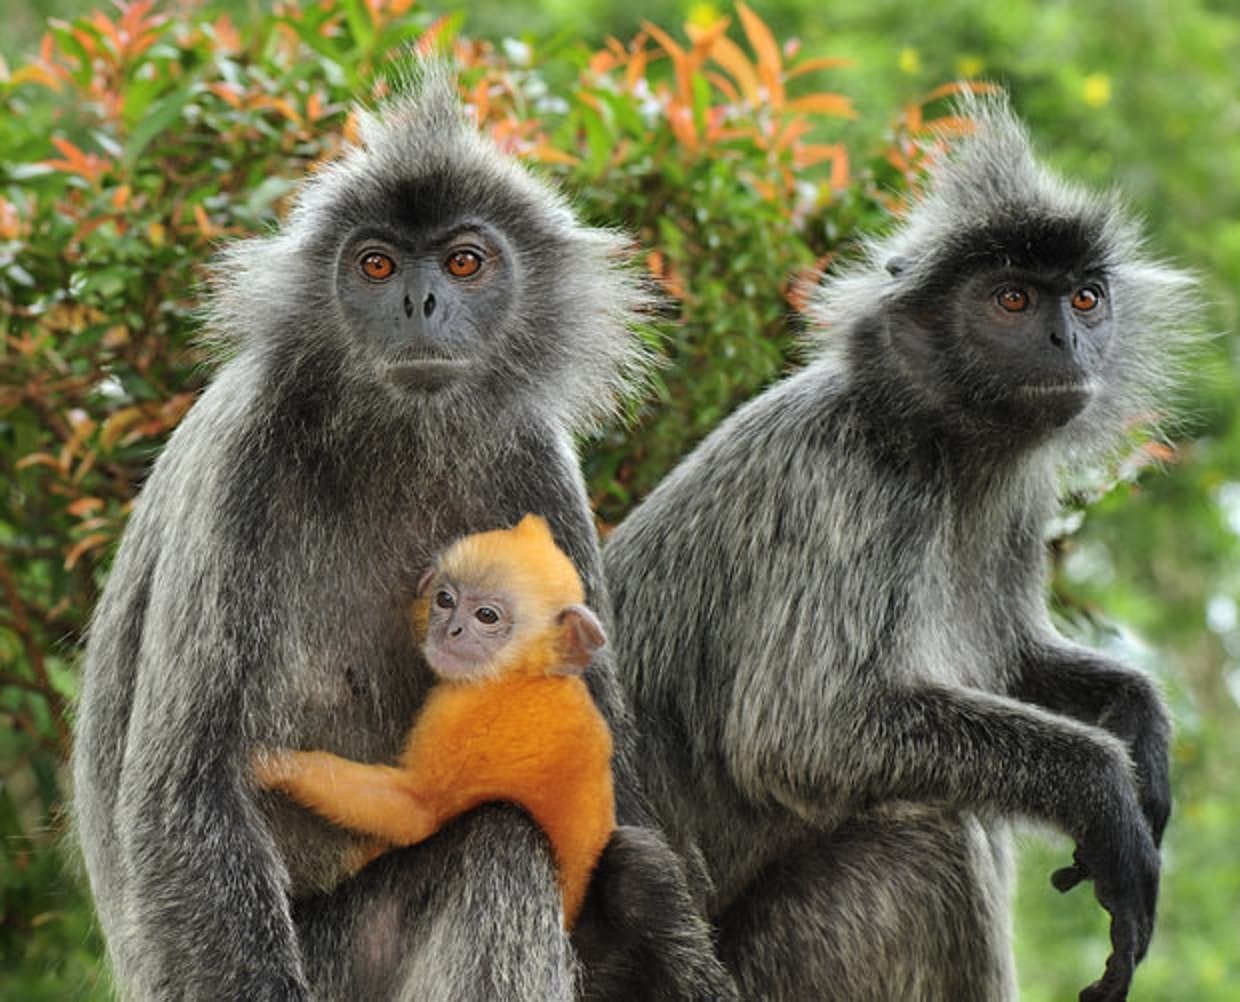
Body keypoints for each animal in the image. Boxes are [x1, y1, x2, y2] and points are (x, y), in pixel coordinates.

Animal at [255, 515, 615, 932]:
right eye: (446, 600)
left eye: (486, 616)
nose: (450, 630)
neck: (521, 676)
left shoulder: (465, 714)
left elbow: (416, 810)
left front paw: (273, 765)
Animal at [605, 99, 1185, 1001]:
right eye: (1012, 299)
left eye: (1086, 298)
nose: (1067, 342)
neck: (939, 440)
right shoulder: (848, 483)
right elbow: (805, 731)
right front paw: (1103, 791)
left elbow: (1009, 660)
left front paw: (1141, 725)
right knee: (929, 838)